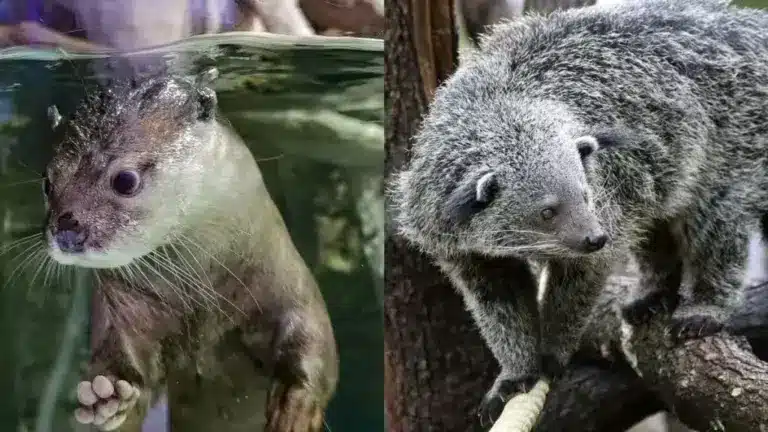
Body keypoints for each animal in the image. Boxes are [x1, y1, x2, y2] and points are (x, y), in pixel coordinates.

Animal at [42, 69, 337, 431]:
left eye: (125, 180)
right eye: (47, 182)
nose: (65, 230)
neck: (205, 304)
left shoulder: (287, 281)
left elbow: (313, 337)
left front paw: (295, 407)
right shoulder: (125, 317)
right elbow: (126, 365)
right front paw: (106, 397)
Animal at [390, 0, 768, 425]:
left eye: (585, 196)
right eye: (547, 211)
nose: (595, 237)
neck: (501, 102)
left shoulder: (607, 187)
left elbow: (580, 280)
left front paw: (554, 350)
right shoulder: (456, 241)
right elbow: (497, 301)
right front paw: (517, 370)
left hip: (736, 136)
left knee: (716, 221)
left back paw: (705, 304)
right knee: (656, 226)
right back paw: (654, 291)